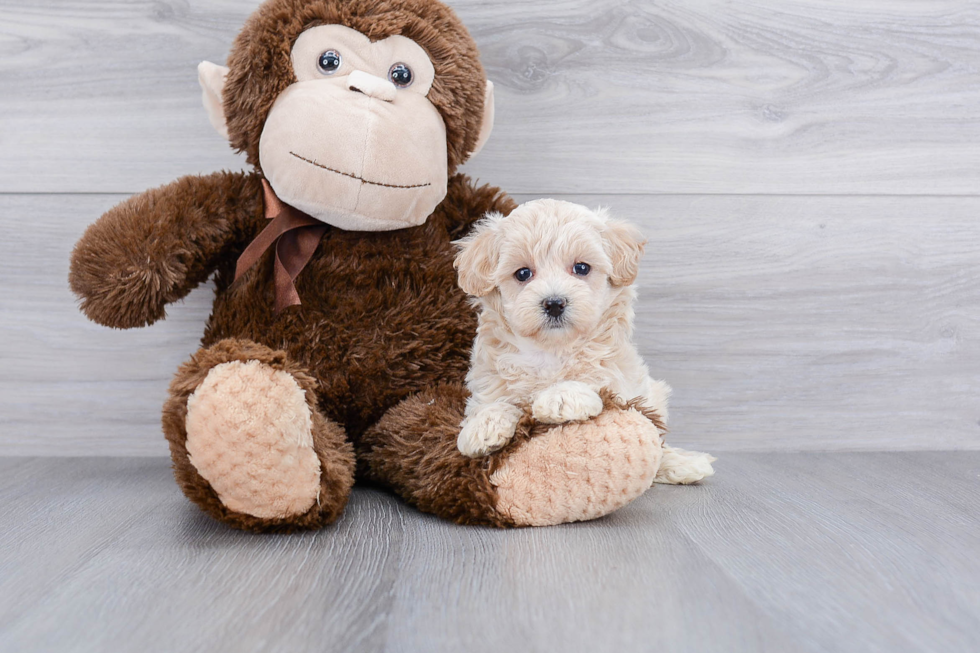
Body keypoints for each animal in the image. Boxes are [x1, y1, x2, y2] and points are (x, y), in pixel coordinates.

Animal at [452, 199, 712, 484]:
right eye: (522, 273)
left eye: (581, 268)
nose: (554, 303)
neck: (552, 350)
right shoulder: (489, 378)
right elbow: (490, 401)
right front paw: (483, 424)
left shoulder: (617, 379)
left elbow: (593, 380)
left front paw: (561, 396)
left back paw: (683, 464)